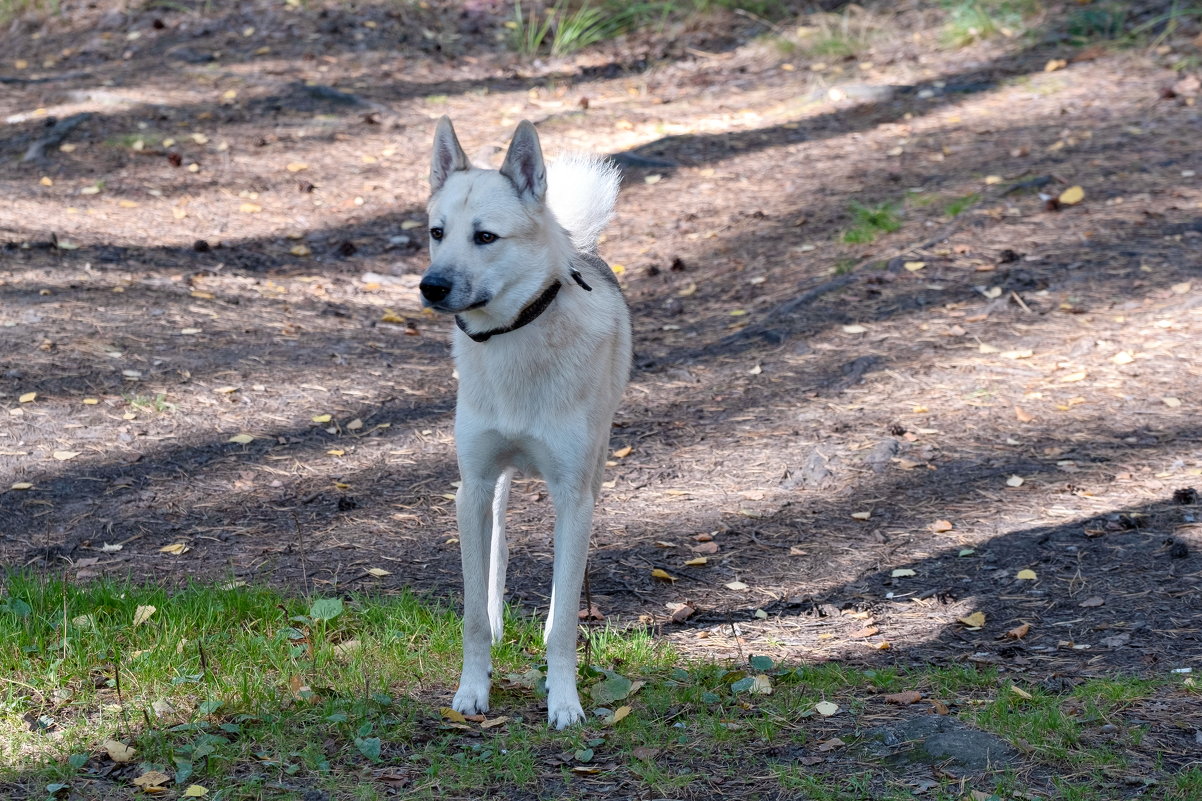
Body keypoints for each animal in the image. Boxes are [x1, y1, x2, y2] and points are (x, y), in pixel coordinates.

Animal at [420, 117, 634, 721]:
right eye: (437, 233)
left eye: (486, 237)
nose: (430, 286)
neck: (513, 336)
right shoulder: (470, 486)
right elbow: (471, 612)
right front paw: (473, 689)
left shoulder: (573, 494)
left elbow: (563, 620)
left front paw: (564, 700)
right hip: (491, 488)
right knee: (499, 546)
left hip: (593, 471)